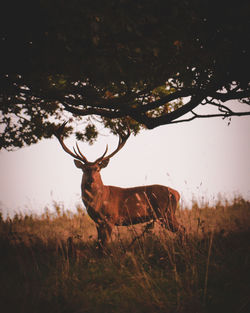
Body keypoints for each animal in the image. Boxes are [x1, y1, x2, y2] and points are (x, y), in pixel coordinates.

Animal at [56, 122, 186, 246]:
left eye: (97, 169)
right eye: (84, 169)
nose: (91, 180)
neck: (98, 201)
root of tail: (176, 193)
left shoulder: (110, 219)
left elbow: (105, 244)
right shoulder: (98, 222)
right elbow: (99, 245)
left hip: (165, 213)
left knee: (182, 229)